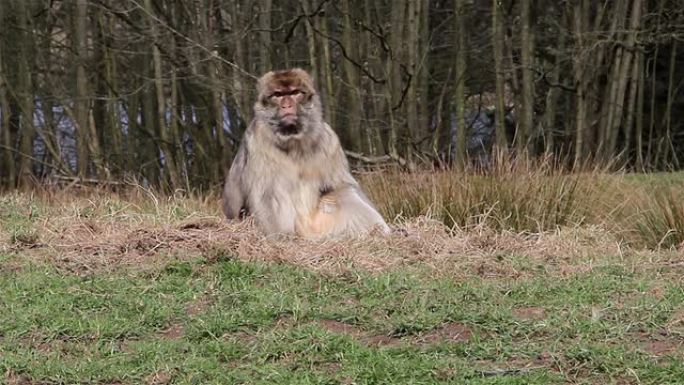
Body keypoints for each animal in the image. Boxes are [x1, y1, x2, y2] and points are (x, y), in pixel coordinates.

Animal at [222, 67, 388, 238]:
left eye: (295, 92)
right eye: (278, 95)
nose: (287, 105)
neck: (293, 142)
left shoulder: (330, 142)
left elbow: (342, 184)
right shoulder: (257, 142)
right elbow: (265, 196)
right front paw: (280, 238)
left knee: (343, 192)